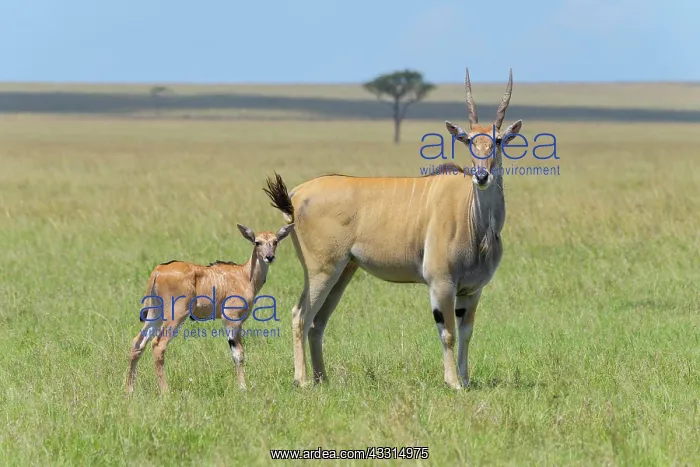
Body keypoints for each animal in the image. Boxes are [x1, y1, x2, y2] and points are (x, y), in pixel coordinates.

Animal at [126, 223, 295, 395]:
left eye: (275, 241)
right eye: (257, 242)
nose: (269, 257)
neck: (245, 275)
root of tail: (158, 270)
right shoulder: (232, 319)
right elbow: (238, 354)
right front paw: (242, 388)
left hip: (155, 315)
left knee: (138, 343)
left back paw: (129, 390)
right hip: (176, 316)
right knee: (158, 345)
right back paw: (165, 391)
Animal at [263, 68, 522, 390]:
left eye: (498, 140)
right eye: (469, 140)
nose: (482, 175)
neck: (474, 220)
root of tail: (296, 195)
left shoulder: (472, 290)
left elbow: (466, 334)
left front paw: (465, 379)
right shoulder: (441, 284)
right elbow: (448, 333)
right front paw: (453, 382)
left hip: (343, 272)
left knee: (317, 322)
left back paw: (323, 378)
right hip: (321, 271)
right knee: (300, 315)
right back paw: (303, 380)